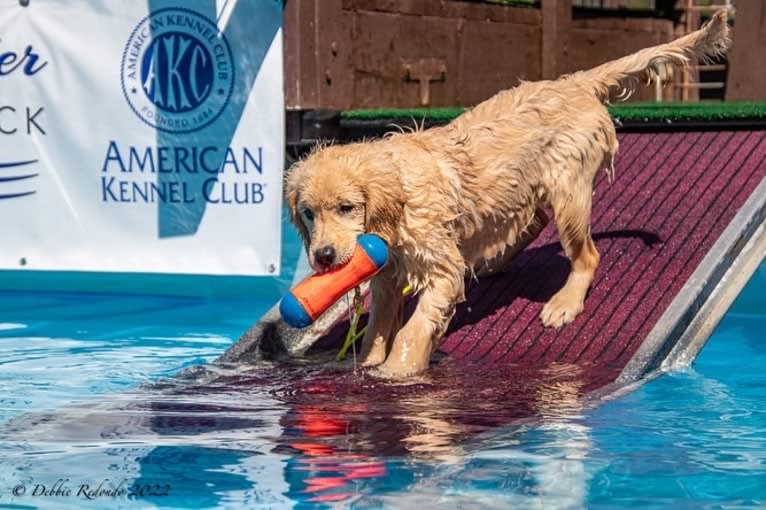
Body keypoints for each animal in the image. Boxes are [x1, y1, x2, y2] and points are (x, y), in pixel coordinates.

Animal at [286, 11, 732, 376]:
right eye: (308, 213)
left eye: (347, 207)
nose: (323, 256)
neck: (399, 203)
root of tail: (573, 82)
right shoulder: (388, 276)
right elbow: (378, 326)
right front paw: (371, 363)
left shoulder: (439, 267)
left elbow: (415, 326)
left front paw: (399, 370)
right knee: (533, 220)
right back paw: (491, 262)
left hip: (568, 190)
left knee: (586, 255)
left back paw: (564, 302)